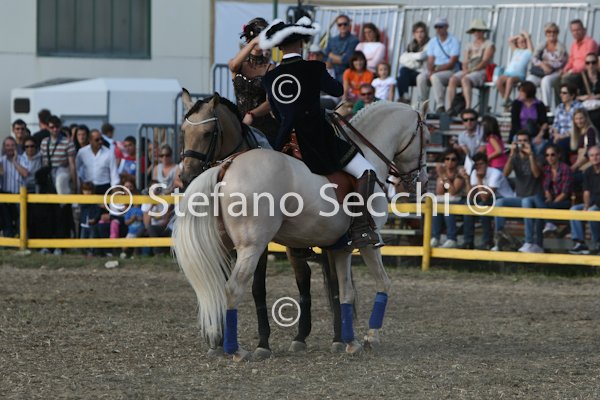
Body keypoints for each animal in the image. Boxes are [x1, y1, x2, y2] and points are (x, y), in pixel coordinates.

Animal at [173, 92, 430, 361]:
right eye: (427, 137)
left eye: (205, 133)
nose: (422, 178)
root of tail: (227, 165)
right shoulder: (369, 244)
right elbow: (382, 283)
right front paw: (371, 337)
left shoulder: (341, 248)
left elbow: (344, 292)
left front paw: (349, 341)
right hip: (251, 247)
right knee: (233, 288)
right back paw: (237, 350)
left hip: (229, 246)